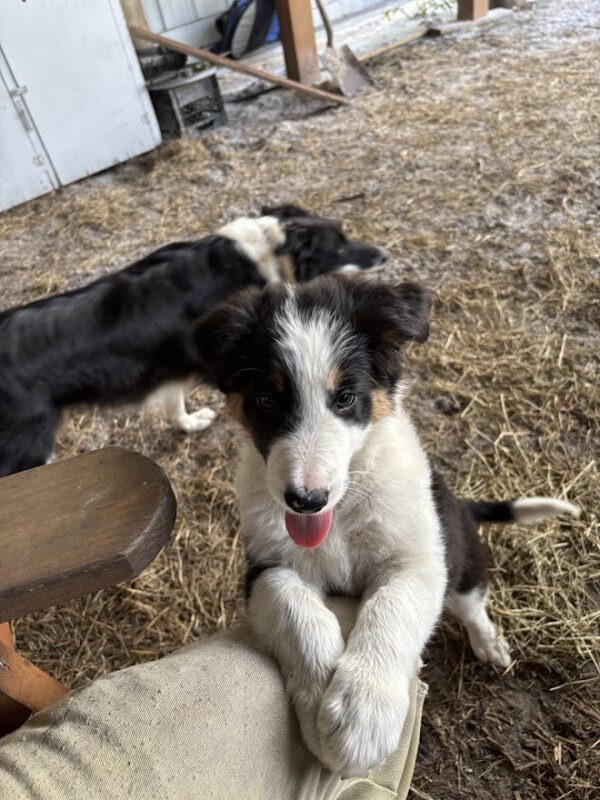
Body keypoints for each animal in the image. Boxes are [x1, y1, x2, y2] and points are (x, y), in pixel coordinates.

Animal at [0, 209, 386, 478]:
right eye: (340, 247)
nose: (384, 255)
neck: (266, 253)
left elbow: (175, 404)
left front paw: (189, 424)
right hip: (28, 452)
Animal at [195, 278, 580, 780]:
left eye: (344, 397)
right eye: (266, 399)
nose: (306, 501)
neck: (341, 515)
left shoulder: (419, 562)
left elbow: (390, 608)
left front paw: (363, 713)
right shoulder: (263, 567)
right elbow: (292, 603)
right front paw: (319, 702)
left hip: (461, 556)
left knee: (473, 605)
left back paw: (490, 645)